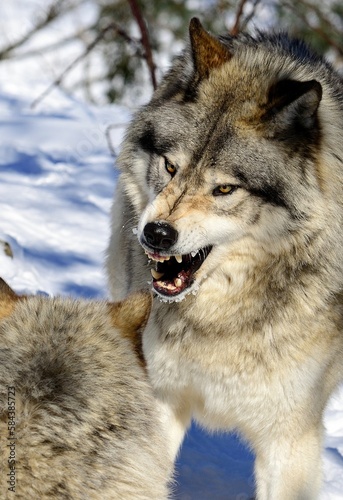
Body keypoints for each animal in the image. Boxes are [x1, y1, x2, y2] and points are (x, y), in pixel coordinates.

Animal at [107, 17, 343, 498]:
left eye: (224, 189)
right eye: (171, 167)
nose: (157, 234)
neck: (219, 318)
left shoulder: (290, 439)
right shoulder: (159, 397)